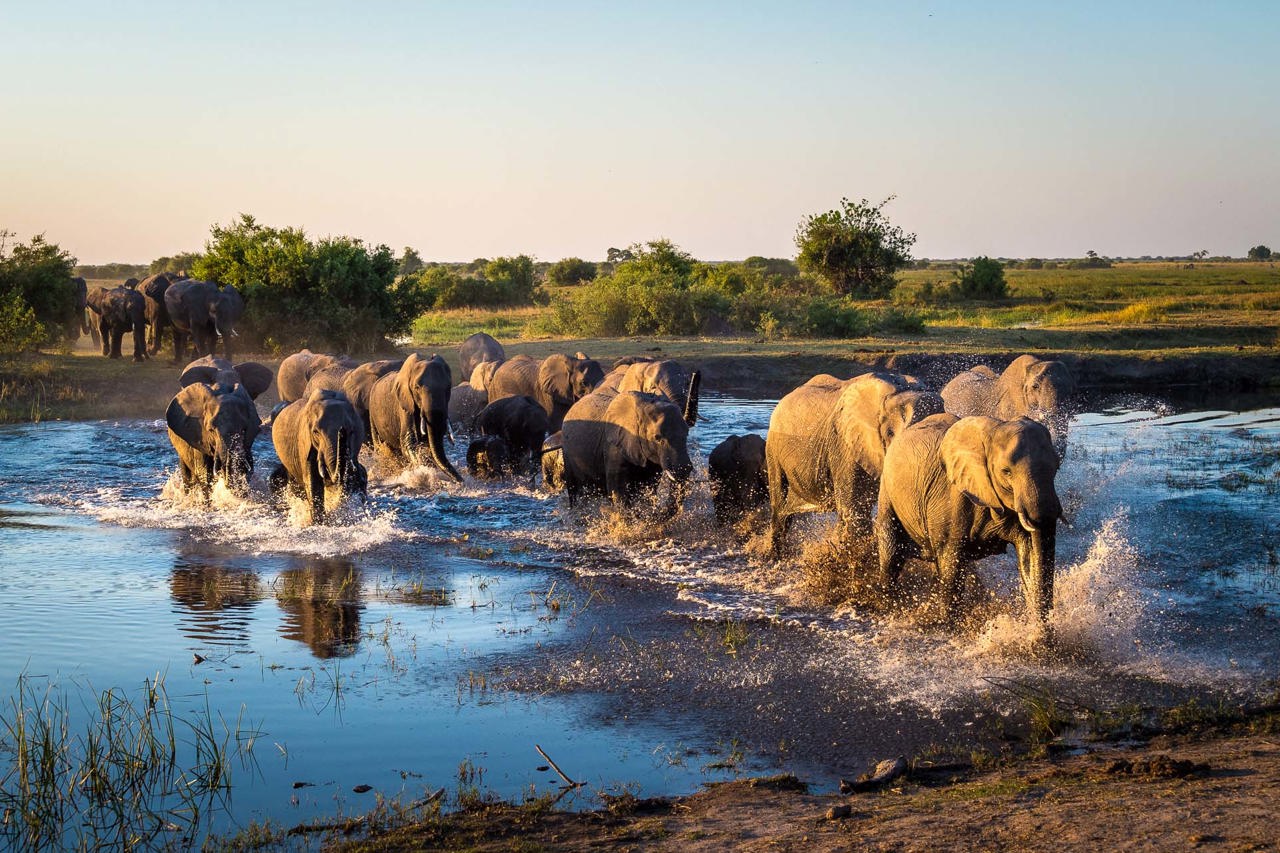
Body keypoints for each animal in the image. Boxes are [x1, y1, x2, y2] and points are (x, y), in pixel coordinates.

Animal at [268, 389, 368, 524]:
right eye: (315, 432)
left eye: (351, 431)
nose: (341, 430)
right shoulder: (304, 442)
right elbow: (312, 480)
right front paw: (319, 522)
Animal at [368, 352, 462, 481]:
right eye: (417, 388)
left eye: (448, 387)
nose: (461, 480)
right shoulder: (405, 403)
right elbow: (408, 440)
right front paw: (425, 469)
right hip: (372, 414)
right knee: (381, 446)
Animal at [561, 388, 693, 514]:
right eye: (657, 438)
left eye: (687, 433)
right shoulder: (613, 446)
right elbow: (617, 490)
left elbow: (649, 486)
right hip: (567, 454)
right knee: (574, 490)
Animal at [766, 371, 943, 556]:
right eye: (890, 433)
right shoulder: (844, 445)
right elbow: (854, 509)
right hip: (773, 448)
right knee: (779, 504)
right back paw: (774, 556)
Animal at [875, 414, 1063, 628]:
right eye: (1006, 471)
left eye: (1057, 467)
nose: (1041, 630)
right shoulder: (953, 499)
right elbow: (952, 562)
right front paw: (948, 625)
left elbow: (1028, 555)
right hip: (887, 492)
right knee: (891, 553)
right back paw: (889, 608)